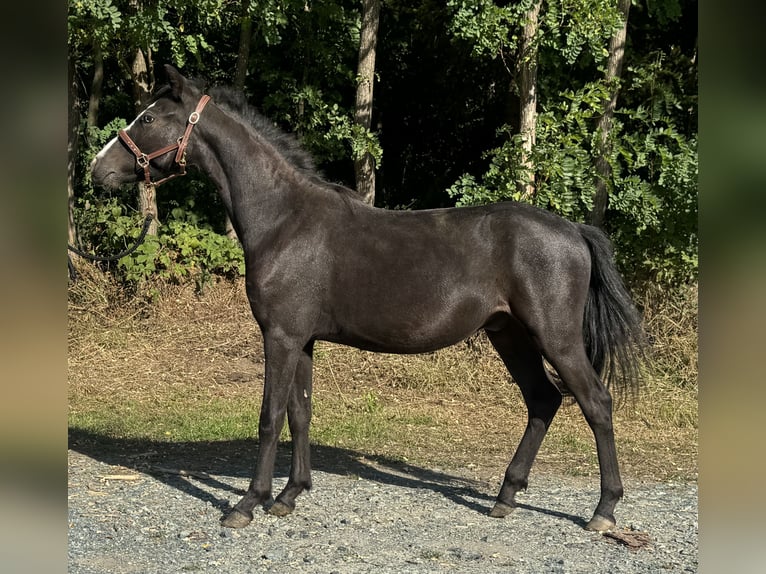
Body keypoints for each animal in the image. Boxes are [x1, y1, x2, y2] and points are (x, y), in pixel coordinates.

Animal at [91, 65, 648, 533]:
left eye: (148, 117)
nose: (98, 171)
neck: (284, 219)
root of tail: (573, 231)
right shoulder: (303, 340)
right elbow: (300, 413)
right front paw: (290, 495)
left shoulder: (281, 336)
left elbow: (270, 418)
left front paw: (248, 503)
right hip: (509, 334)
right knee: (543, 400)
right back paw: (506, 497)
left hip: (555, 336)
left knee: (595, 402)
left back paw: (603, 510)